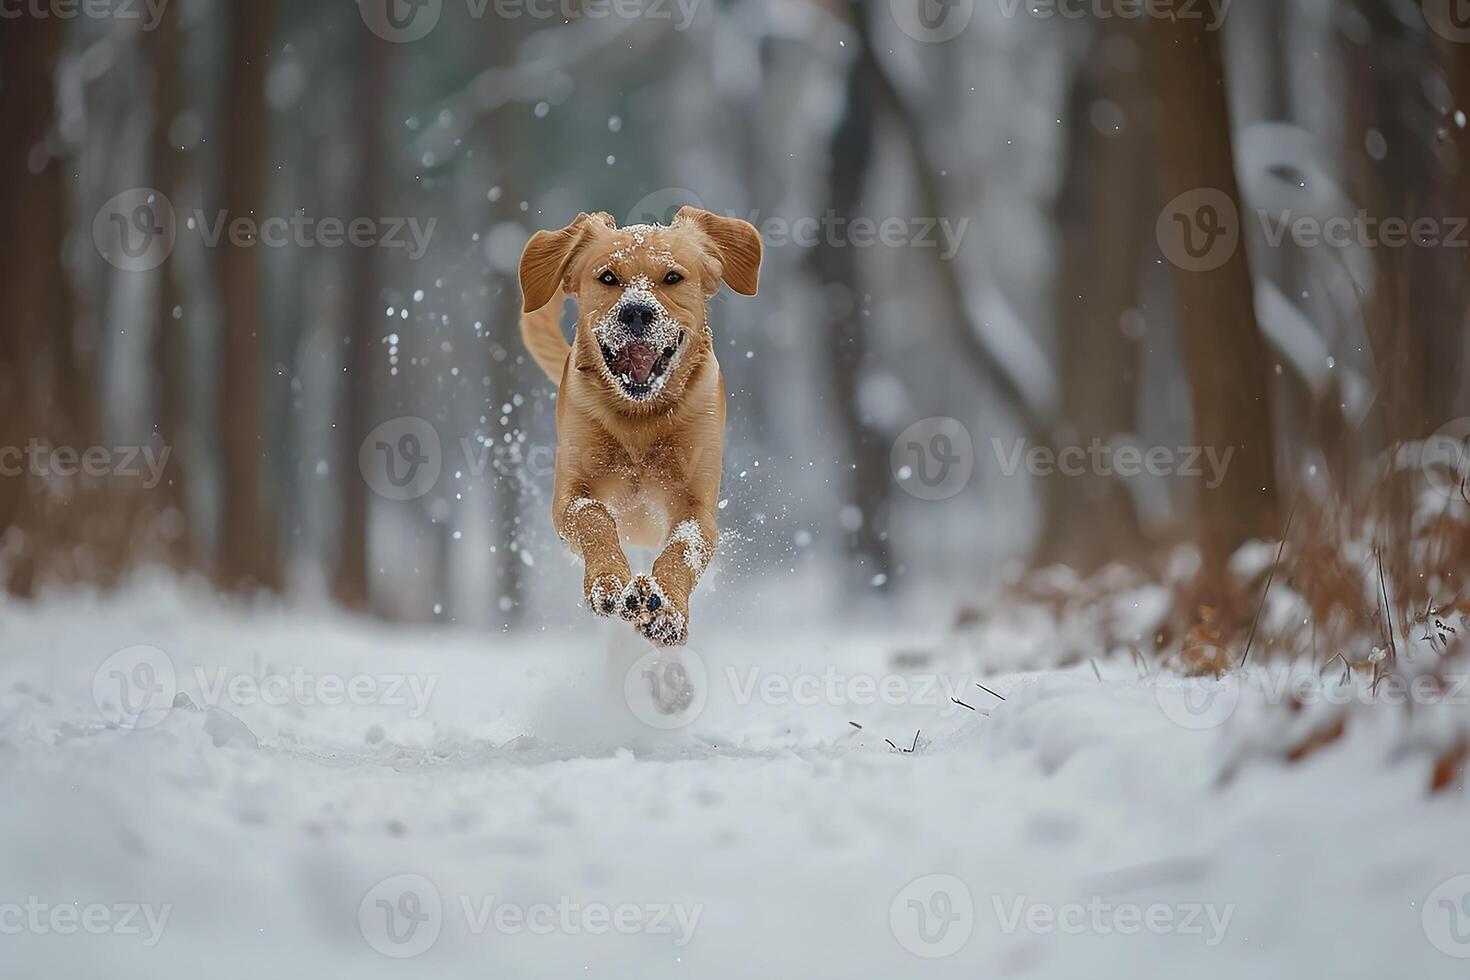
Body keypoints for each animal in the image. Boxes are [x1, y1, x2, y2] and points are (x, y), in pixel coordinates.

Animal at [517, 208, 764, 643]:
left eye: (672, 277)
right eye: (608, 277)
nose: (636, 311)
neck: (640, 420)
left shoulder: (697, 504)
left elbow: (684, 546)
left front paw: (665, 608)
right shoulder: (569, 494)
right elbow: (594, 518)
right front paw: (609, 583)